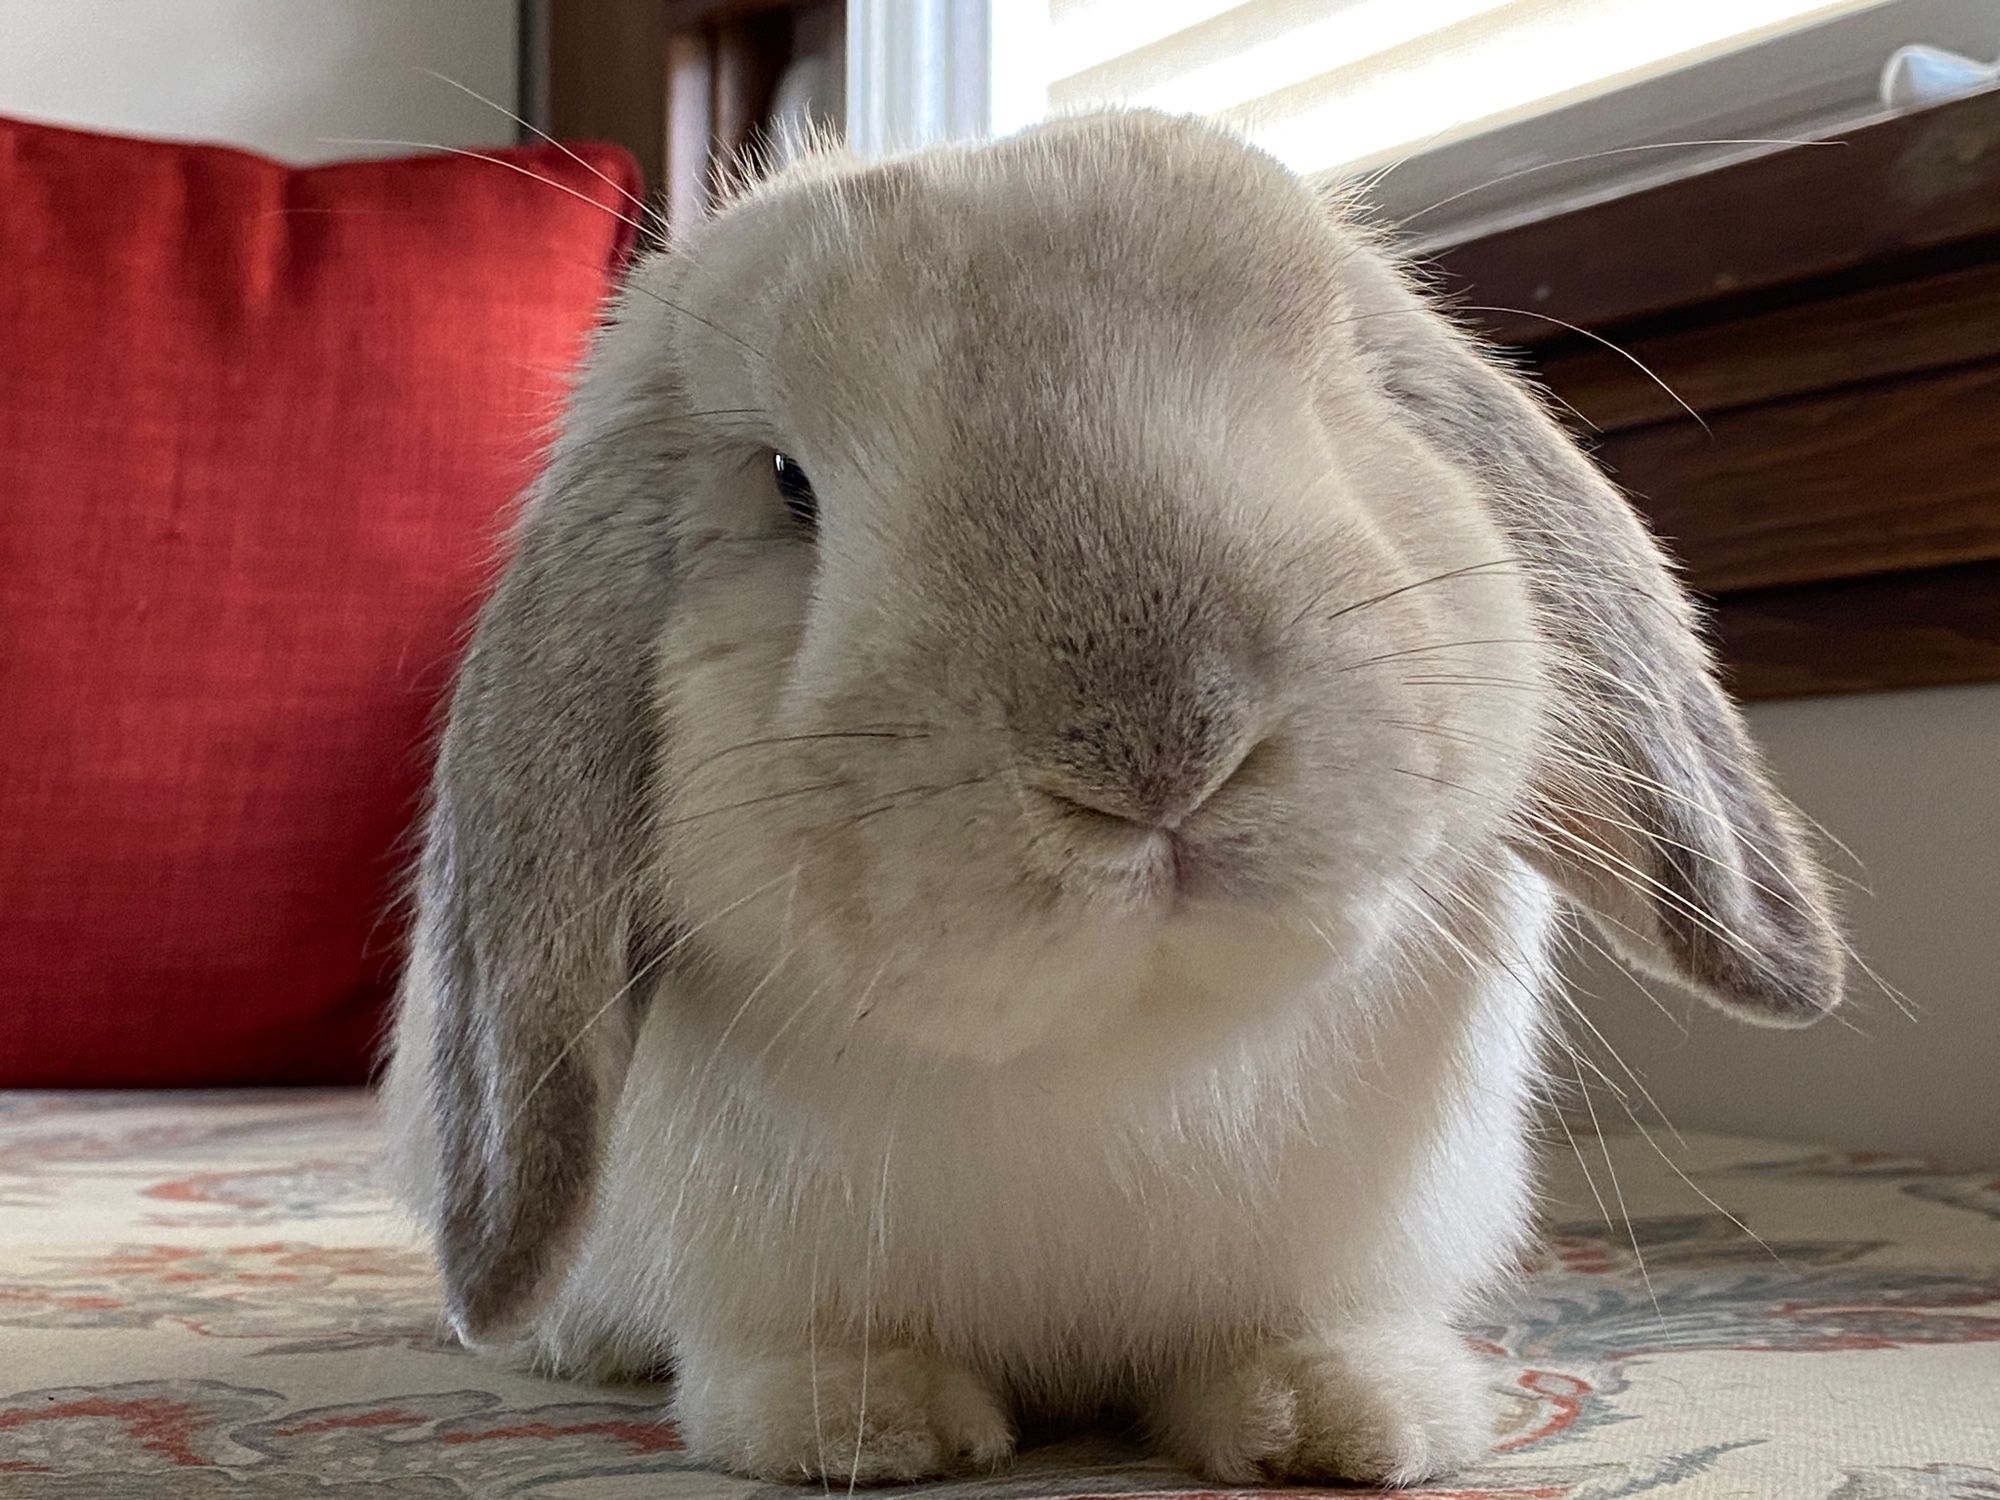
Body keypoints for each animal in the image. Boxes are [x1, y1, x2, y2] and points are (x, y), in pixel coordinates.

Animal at [376, 108, 1840, 1496]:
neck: (1129, 1049)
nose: (1160, 754)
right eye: (788, 484)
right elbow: (815, 1347)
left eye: (1339, 392)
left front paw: (1344, 1421)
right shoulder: (773, 1271)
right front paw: (861, 1432)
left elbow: (1298, 1336)